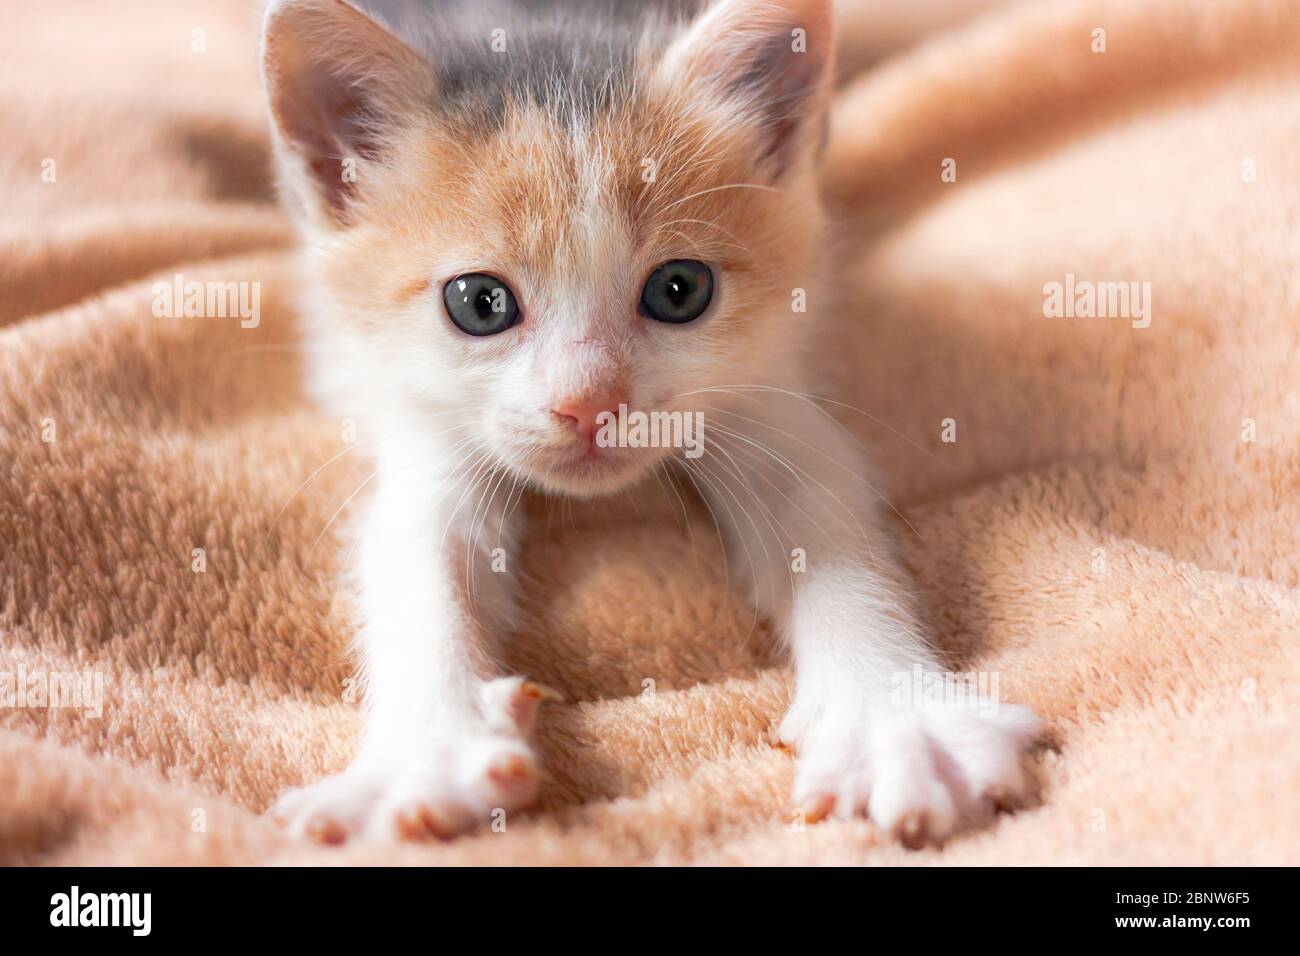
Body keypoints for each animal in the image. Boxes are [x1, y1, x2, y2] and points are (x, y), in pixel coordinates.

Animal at [261, 0, 1034, 848]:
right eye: (479, 303)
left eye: (678, 290)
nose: (589, 404)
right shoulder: (419, 413)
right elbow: (415, 545)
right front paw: (422, 757)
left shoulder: (767, 377)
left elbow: (821, 518)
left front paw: (897, 722)